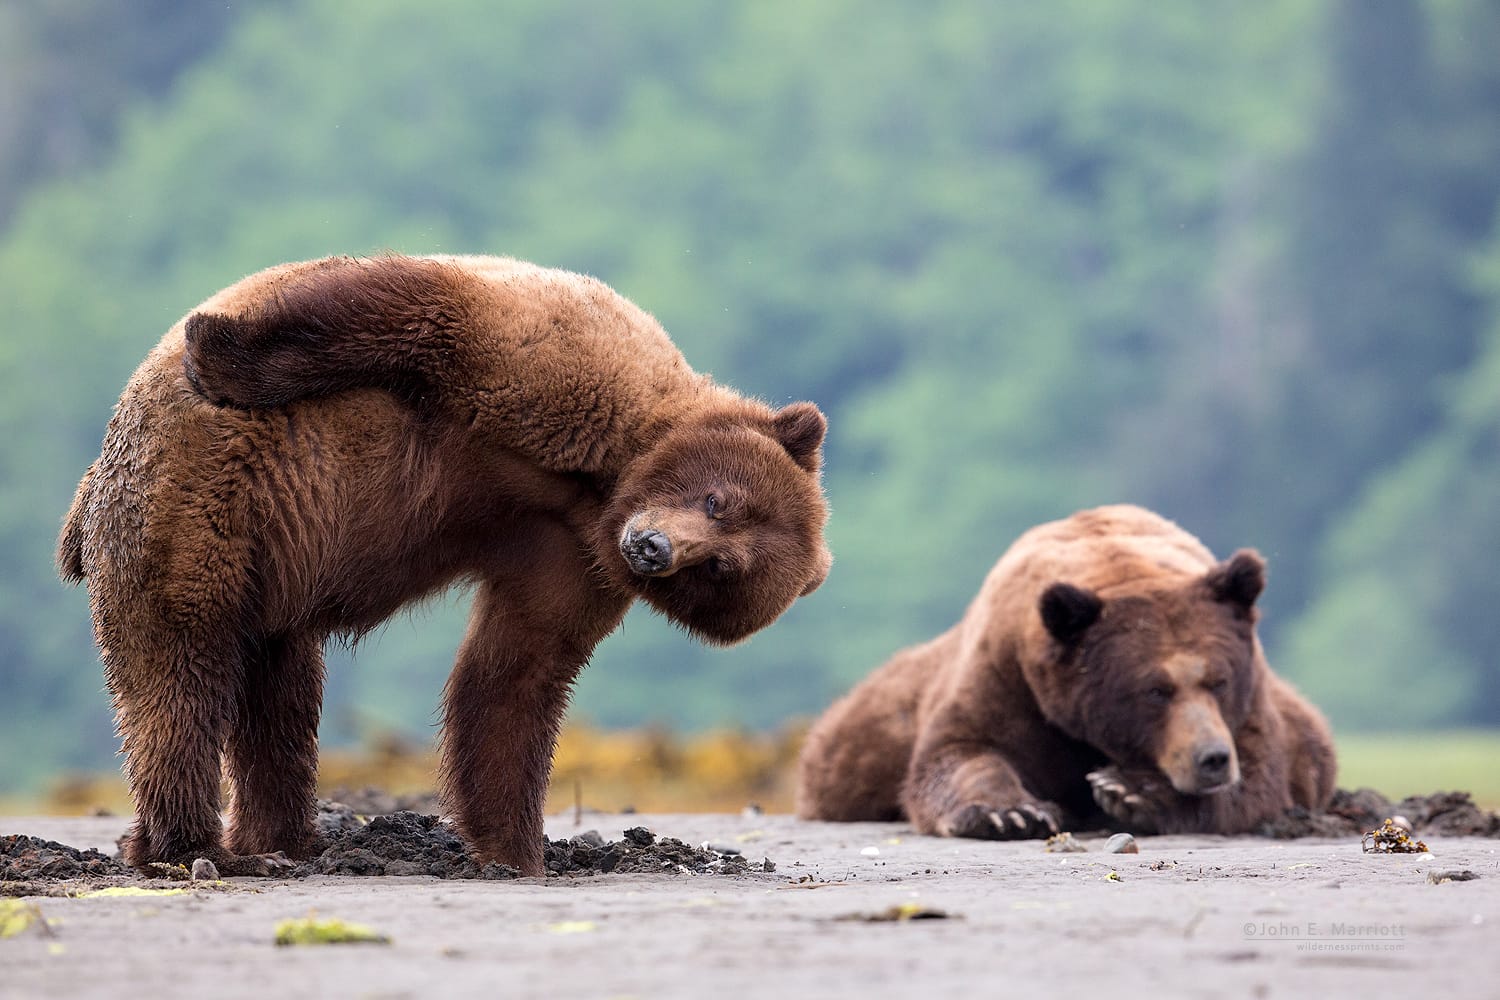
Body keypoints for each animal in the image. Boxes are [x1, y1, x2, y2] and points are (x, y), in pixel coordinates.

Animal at [58, 251, 834, 875]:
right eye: (716, 499)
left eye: (720, 572)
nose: (653, 549)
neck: (601, 481)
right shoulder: (556, 361)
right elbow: (420, 311)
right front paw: (216, 350)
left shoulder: (572, 557)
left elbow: (515, 674)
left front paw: (514, 851)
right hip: (197, 499)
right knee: (182, 663)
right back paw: (191, 846)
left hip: (267, 556)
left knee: (279, 689)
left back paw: (281, 839)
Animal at [798, 503, 1338, 839]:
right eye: (1154, 690)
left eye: (1219, 680)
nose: (1212, 759)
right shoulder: (1006, 676)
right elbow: (959, 752)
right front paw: (1011, 814)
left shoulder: (1252, 709)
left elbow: (1261, 777)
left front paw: (1127, 790)